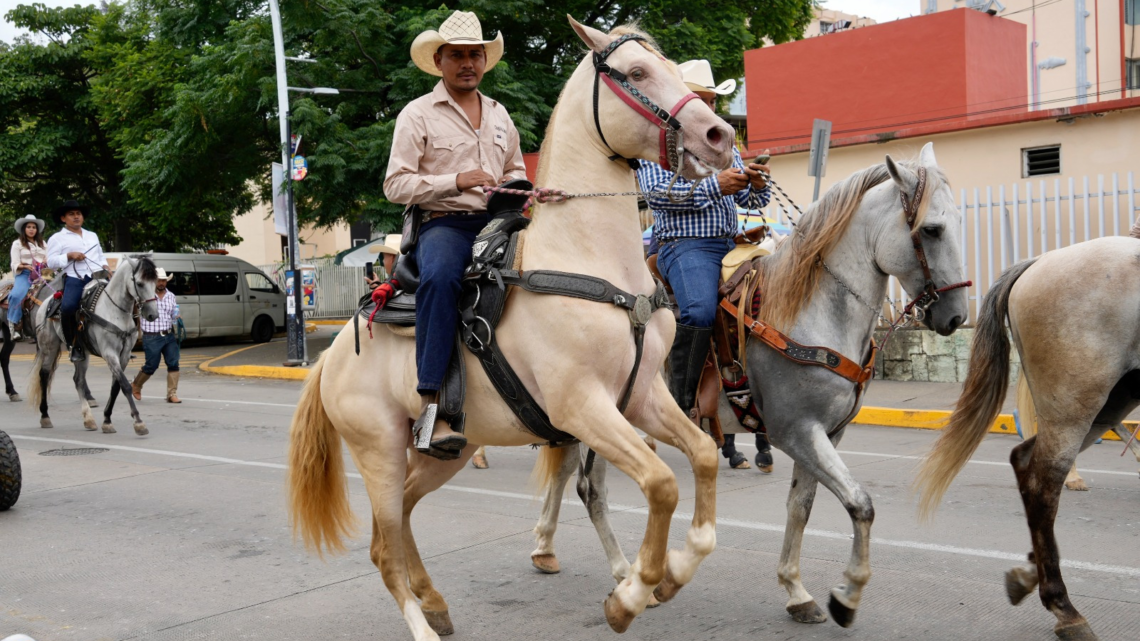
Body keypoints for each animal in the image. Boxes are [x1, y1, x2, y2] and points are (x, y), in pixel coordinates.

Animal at [28, 255, 160, 433]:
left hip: (81, 352)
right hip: (49, 347)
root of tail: (45, 303)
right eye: (139, 283)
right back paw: (45, 416)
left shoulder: (124, 355)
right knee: (44, 375)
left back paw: (88, 419)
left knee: (78, 379)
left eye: (155, 282)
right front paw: (139, 422)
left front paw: (107, 420)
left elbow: (116, 386)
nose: (153, 315)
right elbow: (125, 385)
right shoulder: (109, 353)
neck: (115, 311)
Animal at [285, 18, 729, 638]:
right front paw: (632, 593)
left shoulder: (641, 397)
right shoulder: (581, 406)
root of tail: (331, 359)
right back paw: (422, 624)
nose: (719, 135)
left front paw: (675, 570)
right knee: (383, 546)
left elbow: (704, 455)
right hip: (378, 449)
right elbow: (662, 484)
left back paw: (435, 601)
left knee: (399, 519)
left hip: (442, 452)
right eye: (638, 72)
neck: (594, 264)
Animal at [528, 142, 966, 625]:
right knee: (591, 489)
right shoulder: (796, 431)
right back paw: (624, 573)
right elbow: (859, 503)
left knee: (566, 472)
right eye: (931, 229)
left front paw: (797, 591)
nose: (956, 316)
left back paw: (547, 549)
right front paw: (847, 595)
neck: (808, 310)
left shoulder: (828, 433)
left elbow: (801, 507)